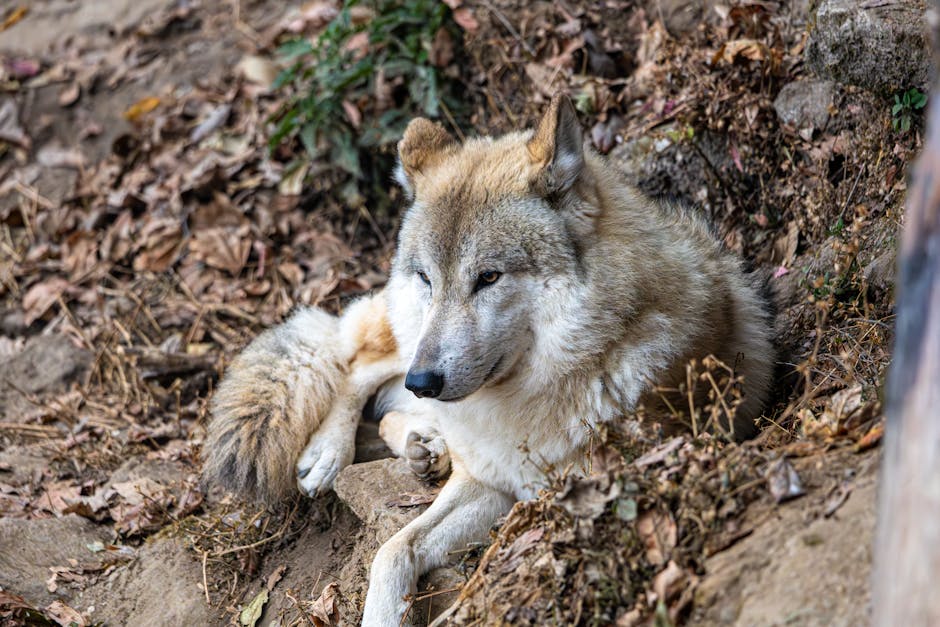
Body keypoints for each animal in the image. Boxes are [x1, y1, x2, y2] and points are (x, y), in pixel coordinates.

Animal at [202, 95, 776, 624]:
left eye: (489, 277)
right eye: (428, 278)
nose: (424, 381)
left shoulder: (523, 492)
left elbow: (417, 555)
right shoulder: (485, 479)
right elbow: (391, 552)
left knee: (385, 400)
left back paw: (422, 443)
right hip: (404, 341)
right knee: (358, 364)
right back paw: (338, 451)